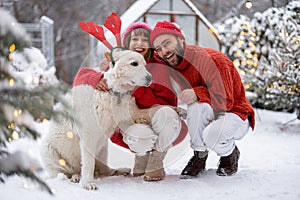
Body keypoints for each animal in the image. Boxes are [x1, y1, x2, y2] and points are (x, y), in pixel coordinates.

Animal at [39, 49, 155, 190]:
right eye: (134, 63)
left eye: (144, 64)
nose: (150, 78)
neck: (112, 92)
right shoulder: (87, 133)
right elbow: (88, 160)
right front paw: (88, 183)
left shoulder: (124, 113)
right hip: (48, 149)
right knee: (66, 172)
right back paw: (75, 177)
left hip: (103, 147)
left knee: (104, 169)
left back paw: (119, 170)